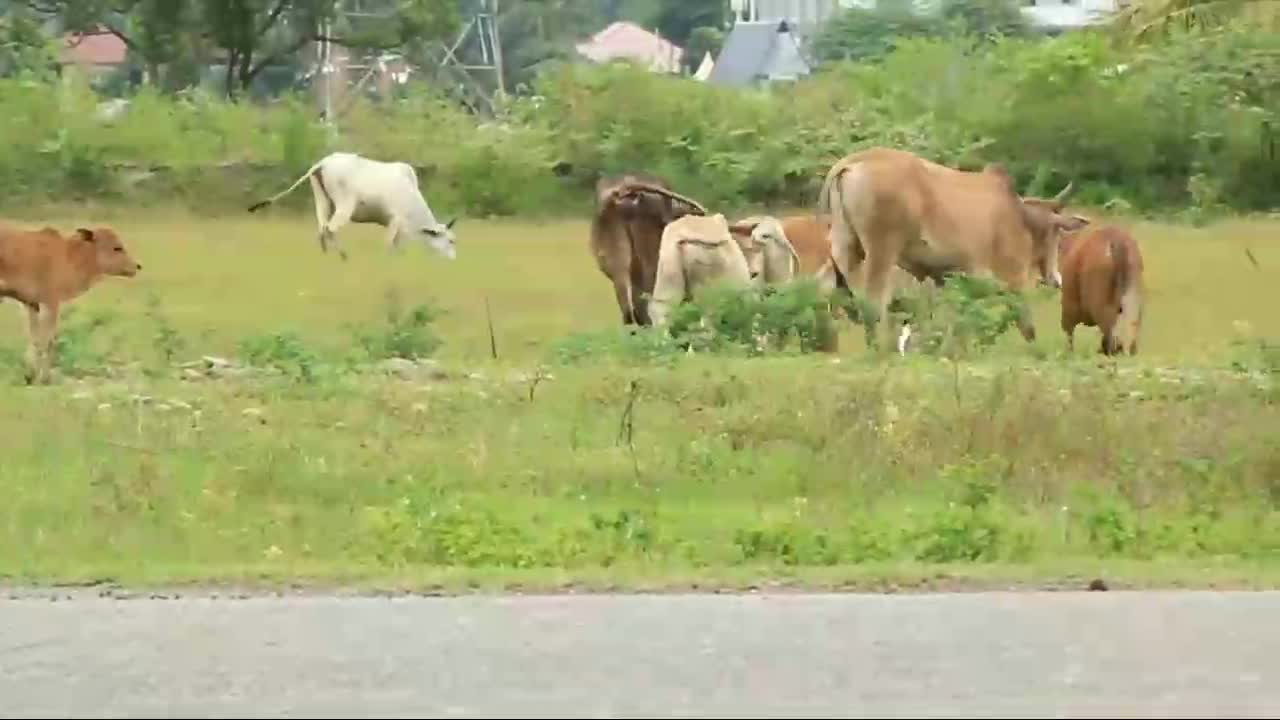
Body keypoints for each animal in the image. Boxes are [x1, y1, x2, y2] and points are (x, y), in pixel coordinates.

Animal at [0, 222, 142, 381]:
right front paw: (45, 378)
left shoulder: (31, 304)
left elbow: (35, 339)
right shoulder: (50, 303)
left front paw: (30, 375)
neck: (69, 256)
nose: (137, 266)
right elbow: (47, 341)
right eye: (117, 247)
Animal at [247, 150, 458, 260]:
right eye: (450, 240)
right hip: (344, 207)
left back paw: (326, 257)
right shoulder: (397, 222)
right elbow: (392, 245)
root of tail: (322, 163)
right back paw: (343, 256)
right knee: (330, 229)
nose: (453, 259)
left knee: (321, 228)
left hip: (322, 201)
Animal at [819, 146, 1090, 348]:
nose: (1056, 278)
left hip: (845, 248)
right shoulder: (1012, 277)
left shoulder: (945, 278)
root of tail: (851, 163)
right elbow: (1024, 323)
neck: (1020, 216)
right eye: (1057, 232)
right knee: (873, 305)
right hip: (881, 251)